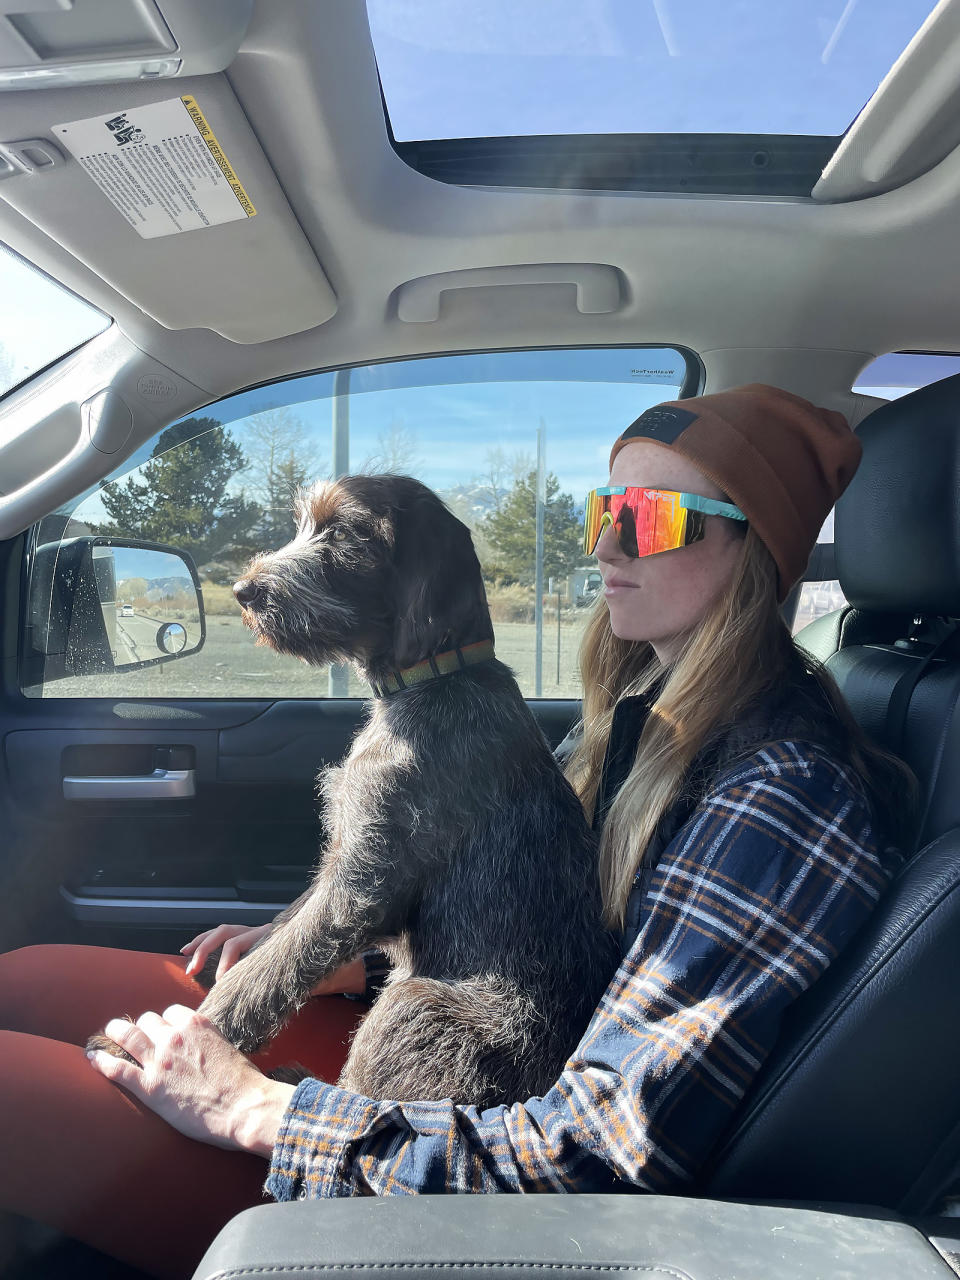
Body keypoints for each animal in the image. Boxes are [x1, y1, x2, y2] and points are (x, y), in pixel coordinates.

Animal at [90, 476, 616, 1105]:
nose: (244, 591)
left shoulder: (361, 884)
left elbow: (267, 970)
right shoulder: (347, 860)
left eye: (342, 533)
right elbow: (281, 931)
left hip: (415, 1002)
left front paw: (173, 1041)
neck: (433, 677)